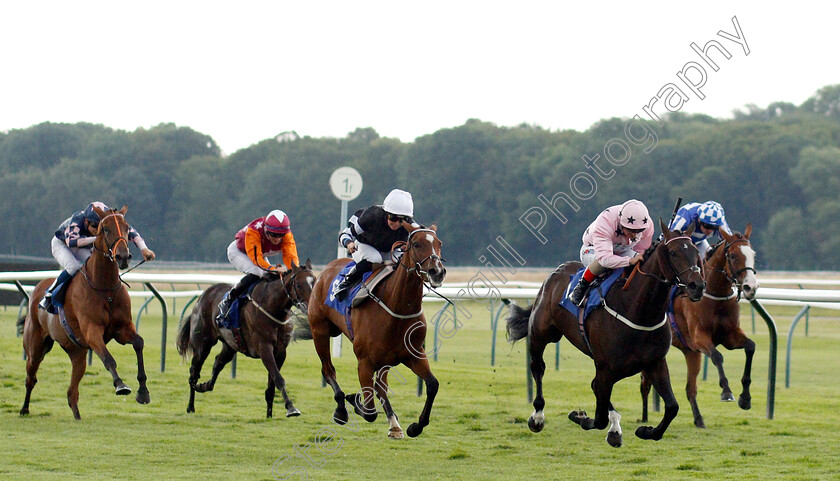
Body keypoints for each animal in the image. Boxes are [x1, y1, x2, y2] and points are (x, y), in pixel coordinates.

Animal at [20, 204, 149, 418]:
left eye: (126, 227)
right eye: (105, 229)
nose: (123, 256)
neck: (105, 289)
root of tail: (37, 289)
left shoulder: (122, 329)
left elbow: (138, 343)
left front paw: (143, 392)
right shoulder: (92, 331)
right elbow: (108, 359)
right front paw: (120, 385)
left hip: (77, 352)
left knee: (72, 392)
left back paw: (77, 416)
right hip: (35, 345)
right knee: (31, 377)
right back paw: (24, 409)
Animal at [176, 258, 316, 416]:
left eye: (315, 281)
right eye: (298, 284)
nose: (311, 306)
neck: (271, 306)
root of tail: (202, 296)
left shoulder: (280, 351)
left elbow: (271, 385)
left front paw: (269, 415)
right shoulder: (264, 348)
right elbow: (278, 378)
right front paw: (291, 407)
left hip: (230, 345)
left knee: (218, 363)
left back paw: (204, 386)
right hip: (202, 344)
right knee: (194, 372)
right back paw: (190, 406)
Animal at [304, 223, 446, 436]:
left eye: (439, 243)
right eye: (416, 244)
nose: (437, 271)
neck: (397, 308)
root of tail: (327, 269)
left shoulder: (413, 355)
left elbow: (432, 384)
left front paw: (415, 426)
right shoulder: (364, 362)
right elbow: (370, 410)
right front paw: (353, 401)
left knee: (381, 386)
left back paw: (394, 424)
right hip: (319, 330)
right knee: (328, 370)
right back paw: (341, 409)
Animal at [506, 220, 708, 446]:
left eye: (695, 252)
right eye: (673, 252)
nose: (697, 286)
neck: (638, 311)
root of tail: (557, 271)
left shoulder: (654, 362)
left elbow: (672, 407)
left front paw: (645, 431)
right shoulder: (606, 367)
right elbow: (599, 418)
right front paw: (580, 416)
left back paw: (615, 426)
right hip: (541, 334)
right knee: (538, 367)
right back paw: (538, 416)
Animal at [644, 225, 760, 428]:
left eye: (752, 253)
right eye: (733, 256)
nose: (750, 287)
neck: (716, 296)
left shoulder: (730, 336)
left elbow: (750, 347)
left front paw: (745, 398)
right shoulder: (699, 337)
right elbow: (717, 356)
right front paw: (727, 391)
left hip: (690, 353)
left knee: (690, 388)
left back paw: (698, 419)